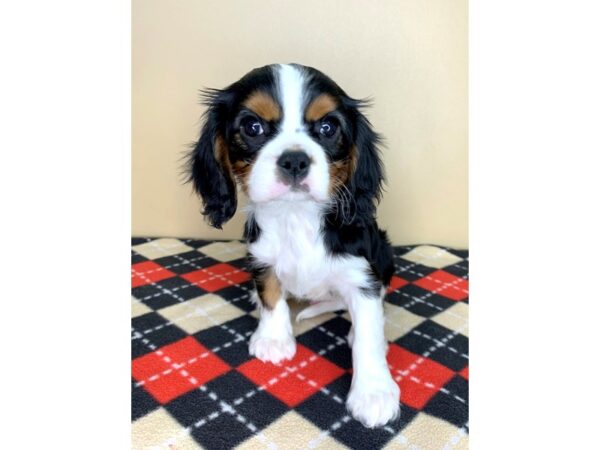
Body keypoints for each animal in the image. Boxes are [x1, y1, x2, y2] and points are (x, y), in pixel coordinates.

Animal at [189, 64, 398, 428]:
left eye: (328, 127)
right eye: (252, 126)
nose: (295, 161)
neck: (296, 216)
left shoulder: (361, 275)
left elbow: (369, 331)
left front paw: (374, 392)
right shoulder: (262, 258)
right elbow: (272, 294)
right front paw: (273, 338)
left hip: (383, 252)